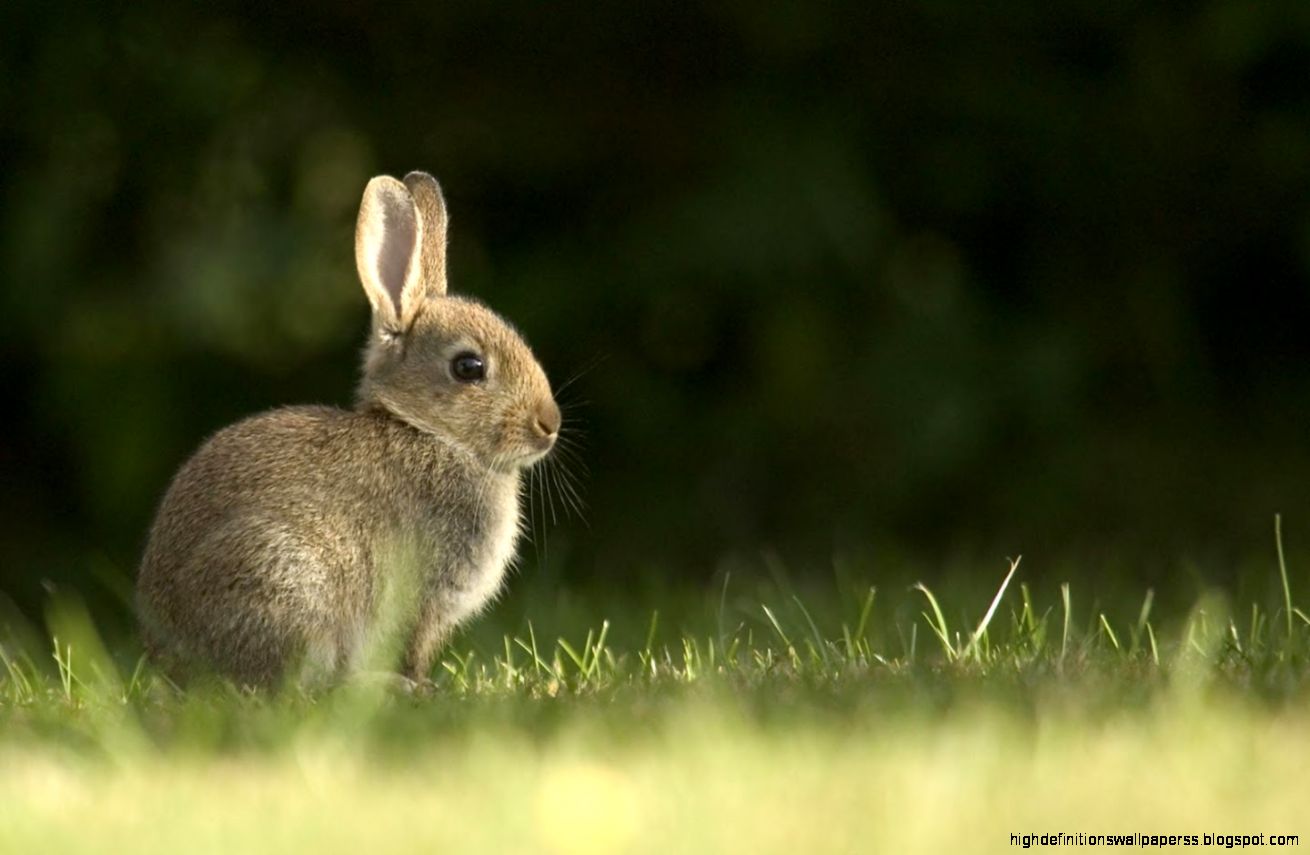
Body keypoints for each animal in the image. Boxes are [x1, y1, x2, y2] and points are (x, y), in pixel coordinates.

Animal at [135, 171, 561, 689]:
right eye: (469, 367)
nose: (549, 424)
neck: (427, 432)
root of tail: (170, 659)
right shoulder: (421, 599)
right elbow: (411, 649)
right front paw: (420, 686)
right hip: (286, 580)